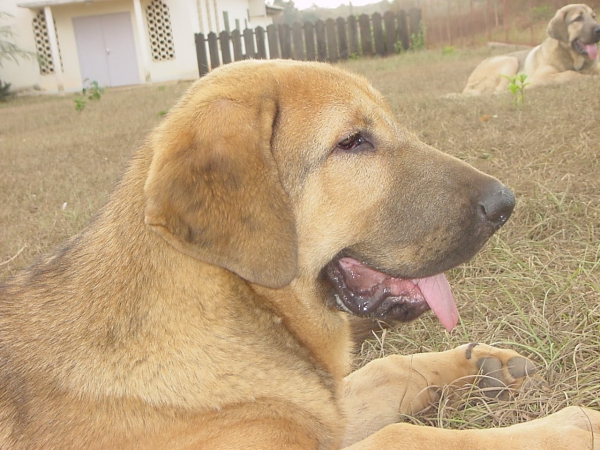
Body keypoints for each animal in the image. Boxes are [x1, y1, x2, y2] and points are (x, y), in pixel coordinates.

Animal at [1, 60, 600, 450]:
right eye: (353, 142)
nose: (505, 203)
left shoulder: (320, 407)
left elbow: (382, 372)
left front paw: (479, 366)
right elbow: (406, 436)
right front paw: (567, 427)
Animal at [464, 3, 600, 95]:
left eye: (593, 16)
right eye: (578, 18)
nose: (599, 30)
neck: (571, 57)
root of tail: (467, 84)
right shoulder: (539, 77)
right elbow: (570, 74)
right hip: (510, 60)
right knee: (499, 91)